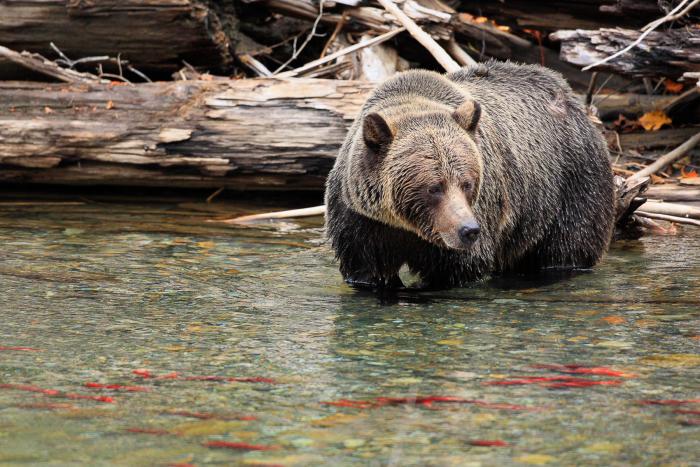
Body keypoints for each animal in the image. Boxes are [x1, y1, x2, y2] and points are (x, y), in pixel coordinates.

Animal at [325, 60, 615, 289]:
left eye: (467, 183)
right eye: (435, 187)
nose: (469, 230)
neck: (405, 225)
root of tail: (571, 98)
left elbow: (461, 267)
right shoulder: (362, 221)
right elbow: (367, 269)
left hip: (573, 186)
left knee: (565, 249)